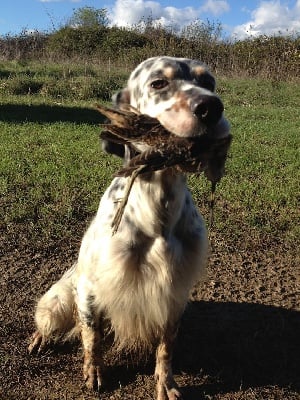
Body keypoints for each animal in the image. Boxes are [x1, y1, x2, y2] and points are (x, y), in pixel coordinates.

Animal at [28, 57, 230, 400]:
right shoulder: (92, 287)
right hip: (60, 297)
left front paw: (166, 383)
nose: (211, 107)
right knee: (50, 320)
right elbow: (92, 337)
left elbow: (166, 347)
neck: (159, 204)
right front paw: (94, 372)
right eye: (158, 83)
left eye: (209, 82)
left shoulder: (173, 293)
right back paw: (39, 338)